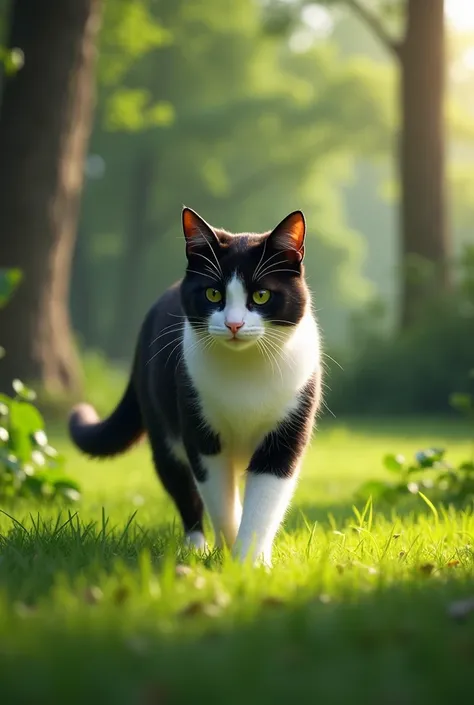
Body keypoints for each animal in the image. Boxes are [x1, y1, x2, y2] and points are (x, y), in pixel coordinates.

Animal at [69, 206, 322, 564]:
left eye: (261, 295)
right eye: (213, 293)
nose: (234, 324)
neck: (246, 374)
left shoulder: (287, 430)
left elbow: (264, 501)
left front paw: (250, 561)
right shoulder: (200, 431)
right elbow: (218, 497)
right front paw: (227, 551)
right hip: (163, 428)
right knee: (183, 488)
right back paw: (195, 545)